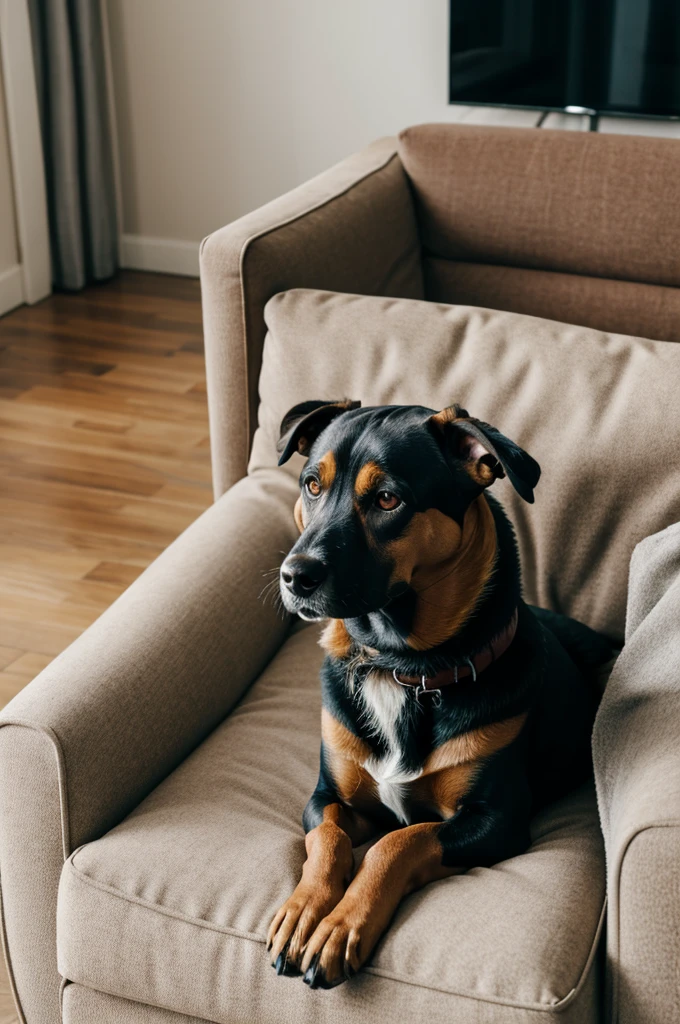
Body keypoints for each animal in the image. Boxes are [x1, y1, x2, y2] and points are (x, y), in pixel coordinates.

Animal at [268, 397, 614, 983]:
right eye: (312, 485)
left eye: (388, 499)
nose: (295, 576)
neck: (400, 667)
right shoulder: (325, 797)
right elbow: (329, 839)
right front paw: (303, 910)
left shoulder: (495, 821)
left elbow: (396, 841)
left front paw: (339, 926)